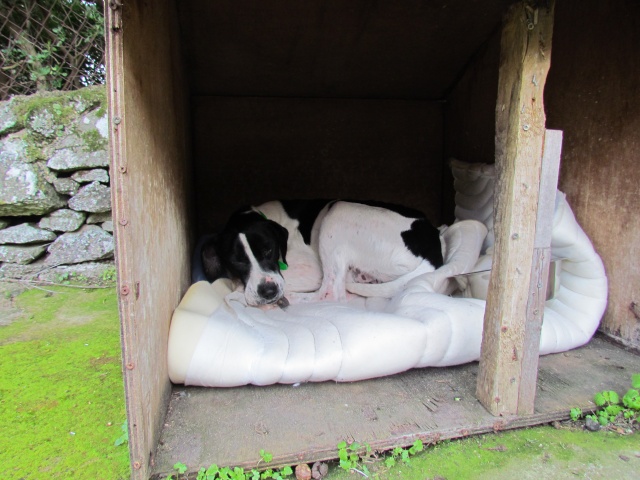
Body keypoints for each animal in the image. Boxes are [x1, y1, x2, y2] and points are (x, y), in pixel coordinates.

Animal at [202, 200, 442, 308]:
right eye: (236, 261)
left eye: (268, 250)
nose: (268, 292)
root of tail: (433, 242)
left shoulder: (310, 270)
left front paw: (241, 292)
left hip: (337, 211)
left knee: (330, 293)